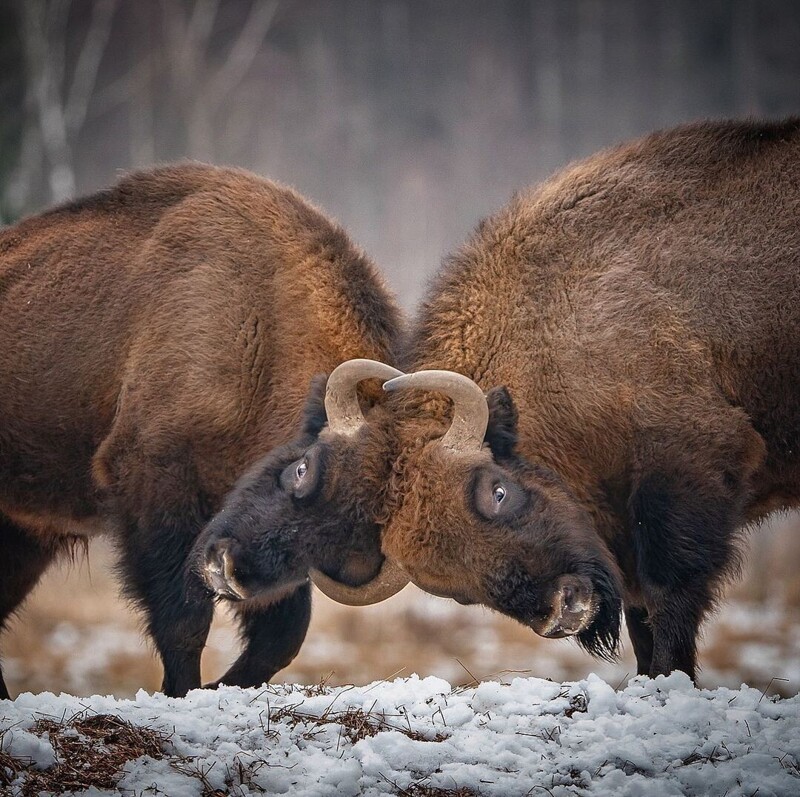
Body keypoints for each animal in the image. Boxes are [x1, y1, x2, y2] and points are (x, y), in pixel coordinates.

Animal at [0, 162, 404, 696]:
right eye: (302, 468)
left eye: (344, 549)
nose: (228, 570)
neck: (265, 325)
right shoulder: (154, 486)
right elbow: (184, 624)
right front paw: (186, 692)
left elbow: (281, 638)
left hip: (25, 533)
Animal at [203, 118, 800, 676]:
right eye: (464, 591)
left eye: (499, 492)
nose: (567, 606)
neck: (558, 336)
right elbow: (643, 616)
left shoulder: (685, 474)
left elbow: (667, 600)